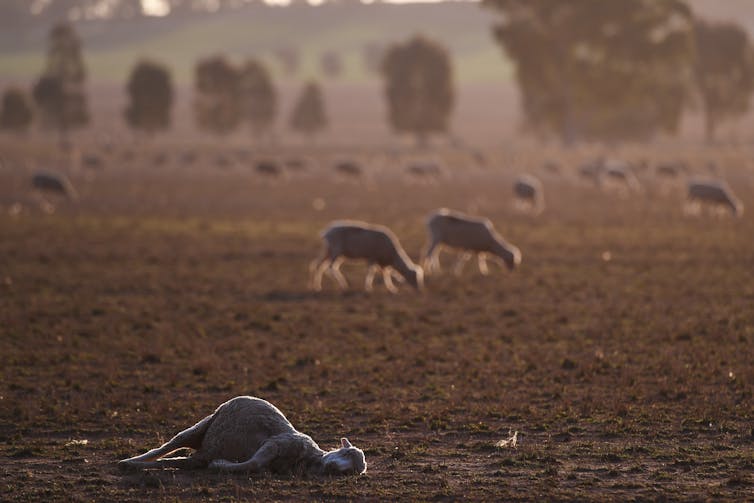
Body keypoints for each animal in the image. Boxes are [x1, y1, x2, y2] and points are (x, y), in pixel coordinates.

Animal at [119, 398, 366, 476]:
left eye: (354, 471)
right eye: (346, 452)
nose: (334, 468)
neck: (308, 458)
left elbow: (254, 466)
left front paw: (220, 464)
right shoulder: (275, 443)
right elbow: (253, 463)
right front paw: (222, 464)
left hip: (199, 454)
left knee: (183, 461)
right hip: (202, 426)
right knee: (167, 446)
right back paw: (128, 462)